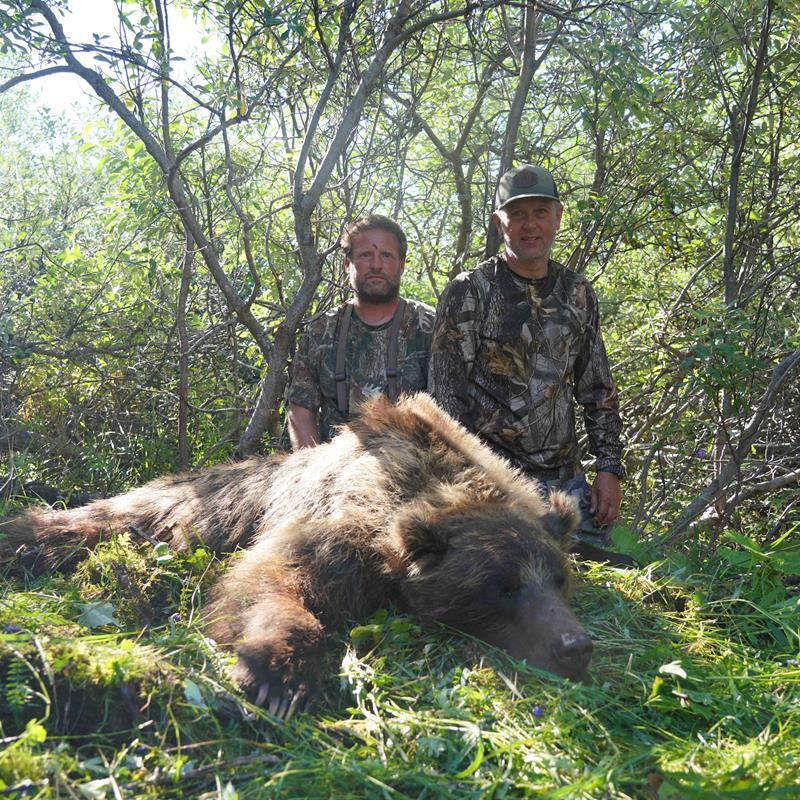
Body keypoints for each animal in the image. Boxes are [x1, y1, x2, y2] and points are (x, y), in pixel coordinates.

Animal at [0, 393, 592, 720]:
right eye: (502, 585)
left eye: (558, 579)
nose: (575, 646)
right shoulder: (339, 527)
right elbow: (266, 581)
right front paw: (279, 676)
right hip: (187, 509)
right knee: (98, 520)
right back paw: (20, 537)